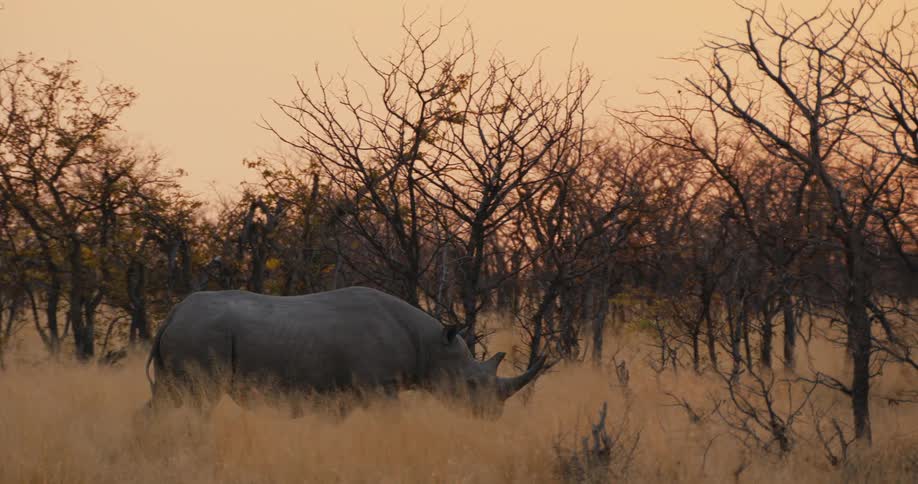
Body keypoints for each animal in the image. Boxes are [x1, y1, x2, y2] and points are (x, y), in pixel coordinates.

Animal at [143, 286, 549, 418]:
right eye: (470, 385)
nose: (492, 417)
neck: (432, 345)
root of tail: (173, 314)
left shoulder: (341, 391)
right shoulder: (380, 386)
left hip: (190, 334)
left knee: (167, 399)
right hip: (201, 335)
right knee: (198, 398)